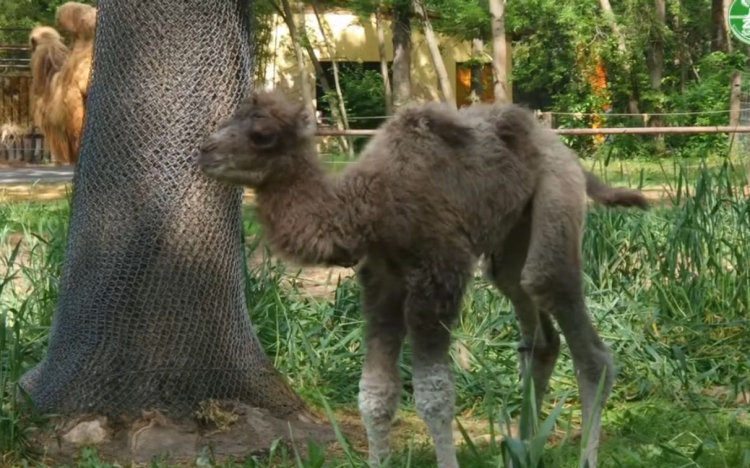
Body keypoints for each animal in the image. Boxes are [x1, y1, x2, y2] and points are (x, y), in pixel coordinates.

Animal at [197, 89, 648, 466]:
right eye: (228, 119)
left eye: (262, 134)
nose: (204, 151)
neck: (371, 206)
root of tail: (565, 150)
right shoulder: (381, 281)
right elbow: (375, 393)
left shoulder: (439, 276)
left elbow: (435, 394)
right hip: (512, 236)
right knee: (533, 322)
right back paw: (523, 447)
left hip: (557, 196)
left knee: (569, 317)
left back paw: (584, 455)